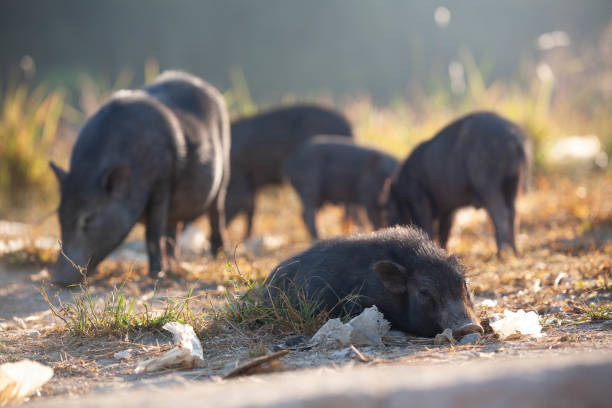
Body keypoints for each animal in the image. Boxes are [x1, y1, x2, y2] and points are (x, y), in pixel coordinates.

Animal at [49, 71, 230, 284]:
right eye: (60, 215)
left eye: (89, 218)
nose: (56, 279)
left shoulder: (162, 182)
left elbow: (152, 232)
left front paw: (156, 274)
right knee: (173, 228)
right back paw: (173, 263)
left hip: (224, 168)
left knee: (216, 212)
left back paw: (218, 255)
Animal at [380, 111, 528, 252]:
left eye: (390, 208)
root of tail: (514, 137)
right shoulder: (449, 207)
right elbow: (445, 230)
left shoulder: (419, 196)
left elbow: (428, 226)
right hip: (515, 182)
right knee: (514, 212)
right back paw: (514, 251)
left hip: (488, 182)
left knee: (500, 214)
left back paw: (501, 253)